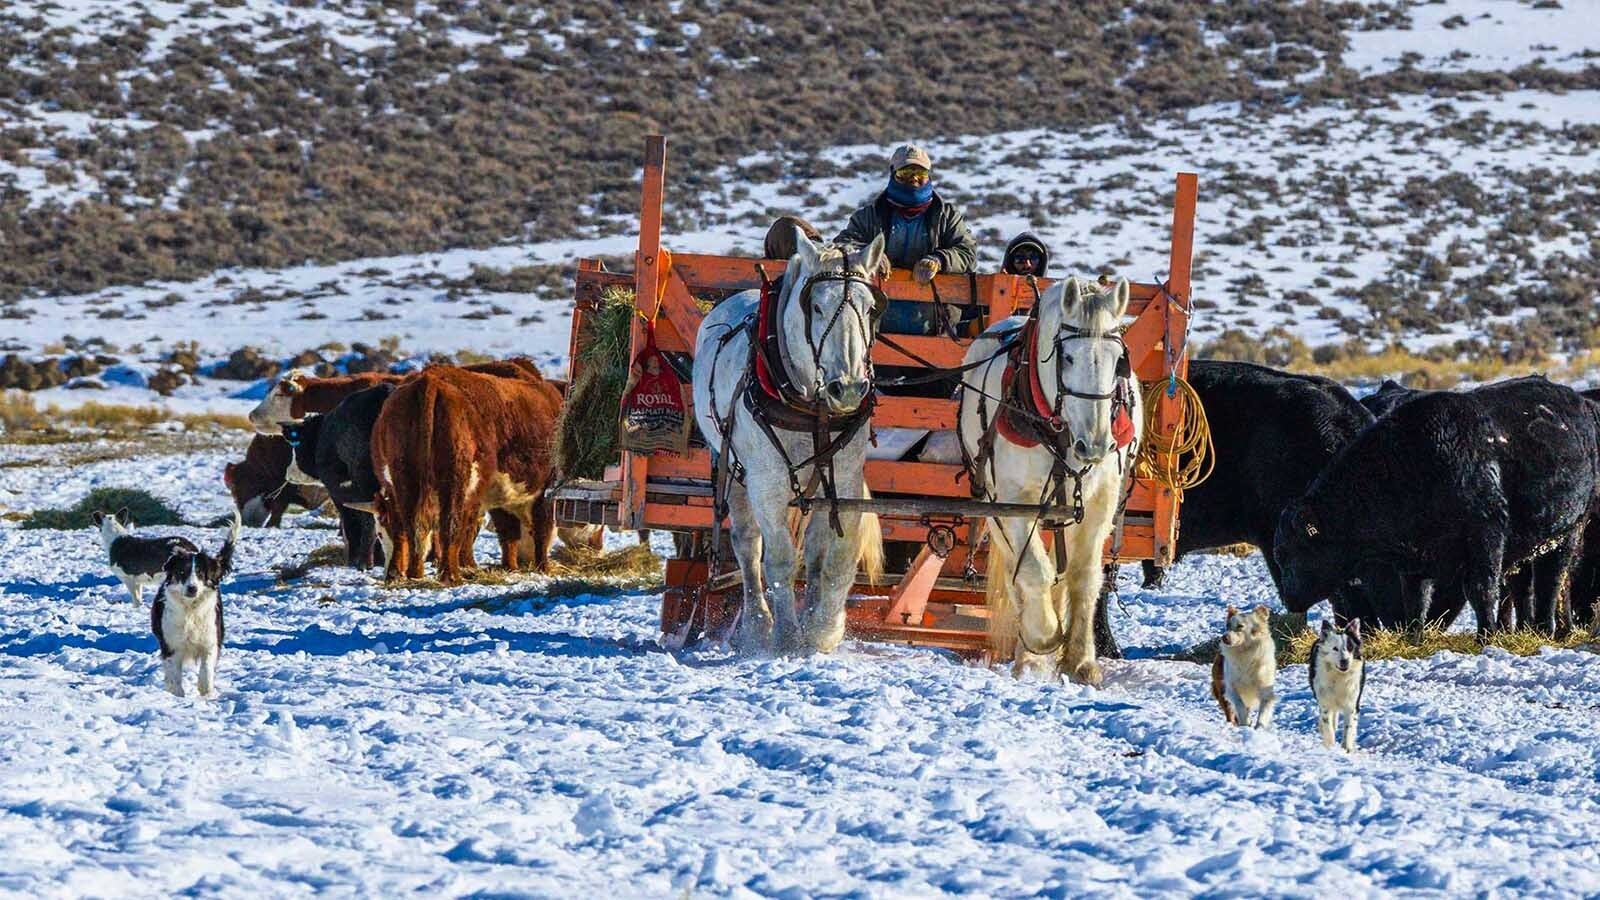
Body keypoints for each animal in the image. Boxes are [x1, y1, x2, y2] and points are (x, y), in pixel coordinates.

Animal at [691, 231, 886, 654]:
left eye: (870, 309)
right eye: (815, 306)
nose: (848, 388)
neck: (812, 409)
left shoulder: (845, 480)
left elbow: (837, 556)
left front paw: (823, 628)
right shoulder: (766, 483)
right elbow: (778, 560)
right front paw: (785, 636)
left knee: (813, 550)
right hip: (731, 467)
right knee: (747, 545)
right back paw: (758, 624)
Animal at [957, 277, 1143, 685]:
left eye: (1118, 362)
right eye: (1068, 358)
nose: (1095, 444)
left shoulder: (1099, 502)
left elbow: (1085, 577)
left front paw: (1081, 660)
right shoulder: (1013, 500)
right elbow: (1033, 571)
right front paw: (1042, 638)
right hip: (992, 504)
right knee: (1017, 569)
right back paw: (1027, 650)